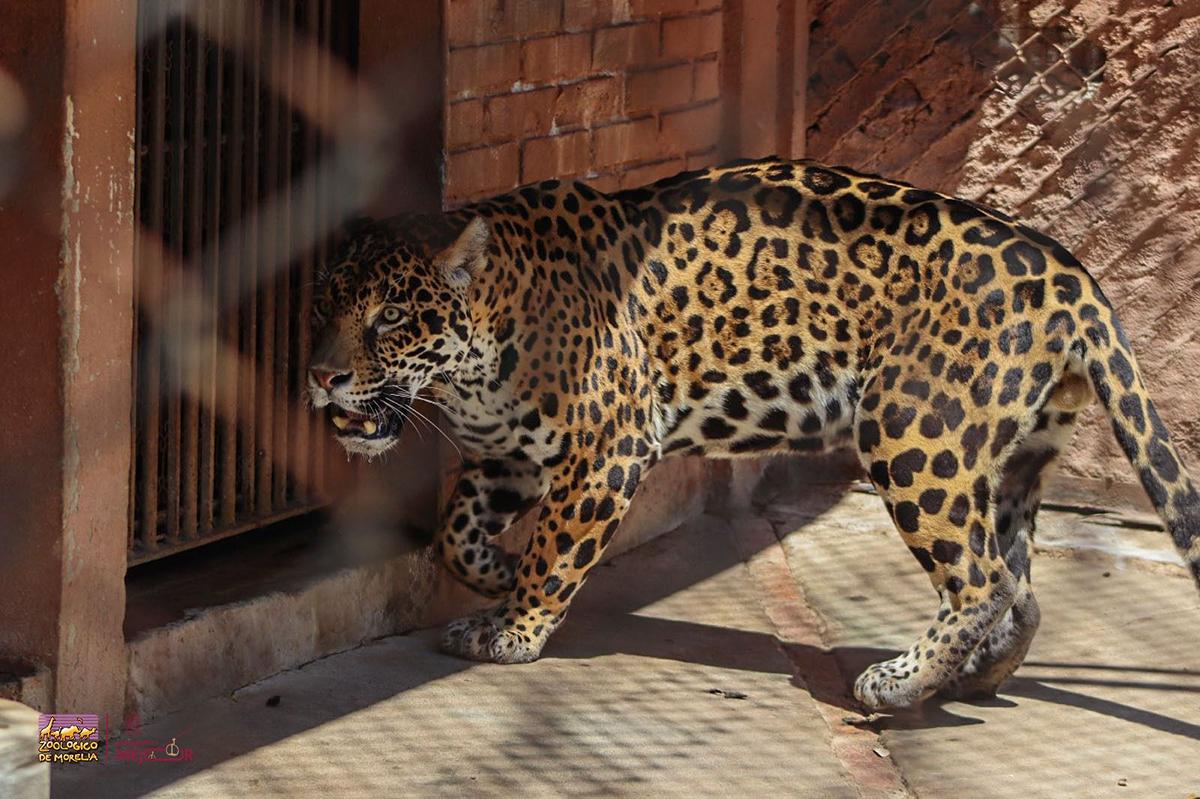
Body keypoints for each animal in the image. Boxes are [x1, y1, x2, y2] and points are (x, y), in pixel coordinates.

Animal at [308, 156, 1200, 711]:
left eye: (390, 319)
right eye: (325, 306)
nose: (321, 376)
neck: (477, 356)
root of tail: (1071, 272)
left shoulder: (608, 446)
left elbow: (558, 542)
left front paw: (515, 628)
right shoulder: (508, 454)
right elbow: (457, 533)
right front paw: (494, 577)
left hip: (914, 431)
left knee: (979, 578)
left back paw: (900, 684)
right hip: (1015, 454)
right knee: (1018, 583)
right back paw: (977, 675)